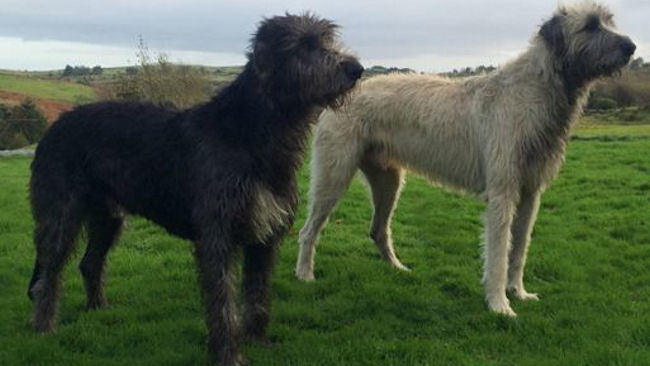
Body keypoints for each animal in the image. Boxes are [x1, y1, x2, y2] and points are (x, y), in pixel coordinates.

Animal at [27, 12, 362, 364]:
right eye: (304, 45)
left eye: (327, 40)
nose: (355, 69)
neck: (253, 131)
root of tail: (53, 128)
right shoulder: (217, 234)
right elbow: (223, 302)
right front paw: (228, 354)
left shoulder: (265, 234)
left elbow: (258, 294)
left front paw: (258, 341)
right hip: (61, 212)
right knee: (48, 273)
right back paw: (44, 326)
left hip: (109, 216)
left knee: (89, 262)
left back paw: (98, 308)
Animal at [294, 1, 632, 316]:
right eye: (590, 26)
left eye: (609, 21)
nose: (631, 46)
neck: (536, 89)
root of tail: (339, 93)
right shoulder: (502, 192)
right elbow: (499, 253)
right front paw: (500, 305)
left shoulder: (530, 193)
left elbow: (519, 248)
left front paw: (519, 292)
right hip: (334, 173)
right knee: (308, 229)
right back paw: (304, 274)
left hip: (388, 179)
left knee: (378, 229)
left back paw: (397, 268)